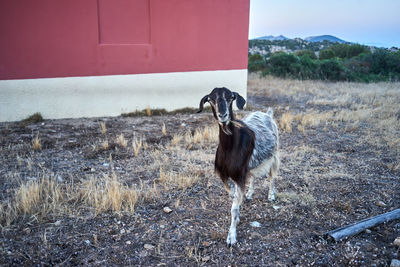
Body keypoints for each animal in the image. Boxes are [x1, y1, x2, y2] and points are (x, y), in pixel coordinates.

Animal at [198, 88, 280, 247]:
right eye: (210, 99)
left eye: (231, 97)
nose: (223, 115)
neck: (229, 148)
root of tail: (267, 114)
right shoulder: (227, 176)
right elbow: (232, 197)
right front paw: (238, 214)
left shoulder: (239, 176)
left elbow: (234, 208)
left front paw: (231, 237)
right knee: (253, 176)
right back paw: (249, 194)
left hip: (274, 154)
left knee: (272, 176)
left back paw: (271, 195)